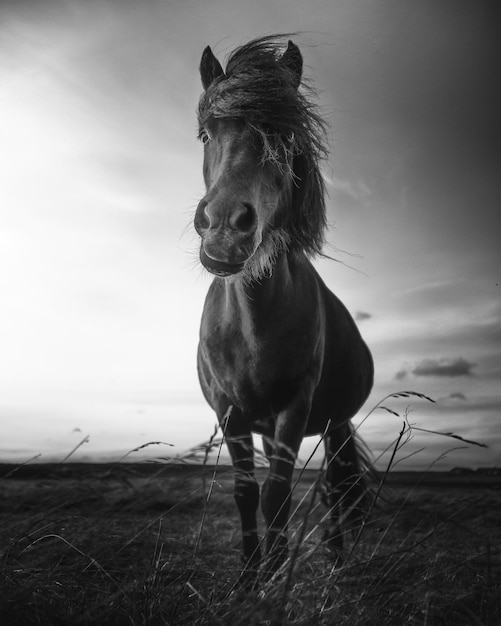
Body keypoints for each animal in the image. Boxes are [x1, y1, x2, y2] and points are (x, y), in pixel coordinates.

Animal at [193, 36, 374, 576]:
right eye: (205, 134)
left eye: (286, 139)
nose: (223, 230)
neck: (251, 324)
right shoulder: (229, 411)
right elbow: (246, 494)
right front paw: (250, 577)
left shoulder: (292, 410)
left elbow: (277, 496)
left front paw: (272, 578)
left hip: (334, 424)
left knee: (336, 487)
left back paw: (337, 559)